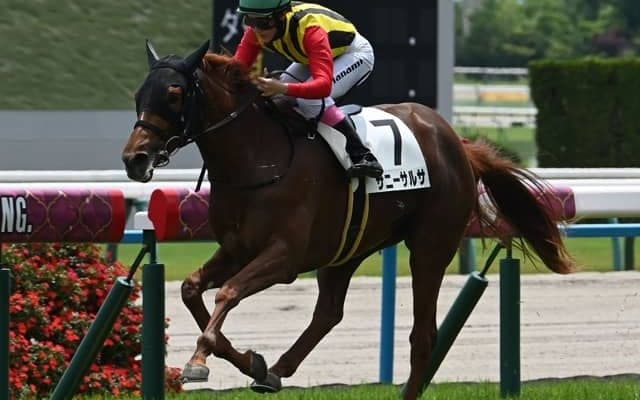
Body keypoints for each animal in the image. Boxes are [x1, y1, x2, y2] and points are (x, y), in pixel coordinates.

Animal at [121, 40, 575, 400]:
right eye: (139, 93)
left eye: (175, 94)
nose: (134, 158)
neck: (259, 158)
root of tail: (457, 143)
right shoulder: (237, 249)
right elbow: (191, 289)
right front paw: (252, 362)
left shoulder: (284, 257)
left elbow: (228, 293)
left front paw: (199, 360)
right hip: (347, 246)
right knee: (329, 312)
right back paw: (277, 370)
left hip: (431, 244)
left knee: (423, 335)